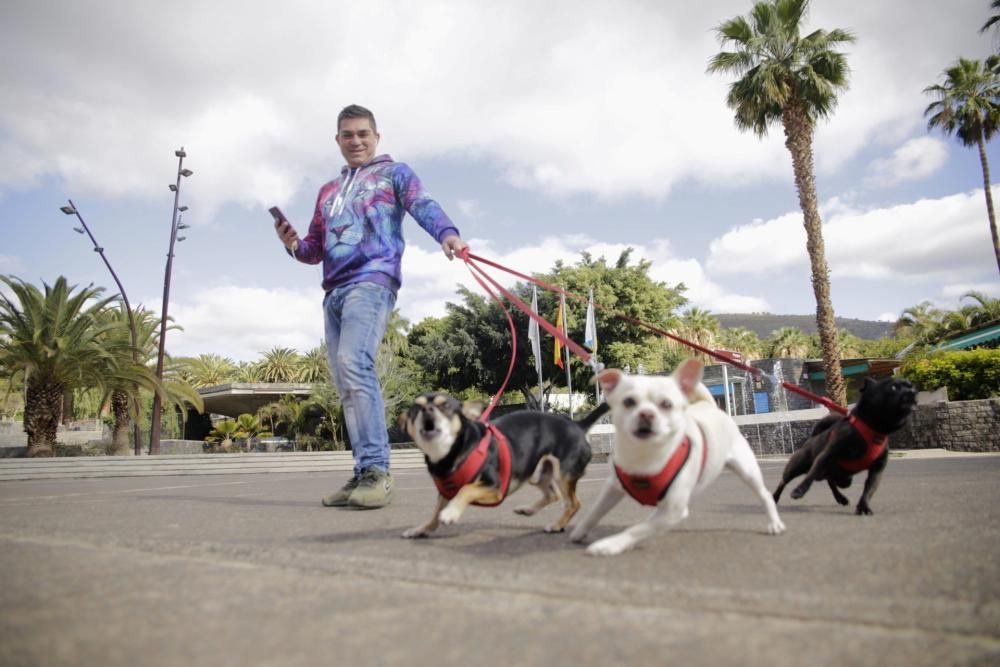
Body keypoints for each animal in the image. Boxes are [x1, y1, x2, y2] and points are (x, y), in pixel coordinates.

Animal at [400, 394, 604, 540]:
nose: (426, 409)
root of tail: (577, 425)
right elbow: (435, 515)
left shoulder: (495, 489)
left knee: (573, 503)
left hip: (563, 474)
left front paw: (451, 513)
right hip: (536, 473)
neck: (449, 454)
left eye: (445, 406)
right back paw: (528, 510)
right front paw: (422, 529)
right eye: (415, 408)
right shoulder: (445, 491)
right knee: (553, 495)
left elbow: (466, 490)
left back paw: (557, 525)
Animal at [772, 376, 916, 516]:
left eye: (911, 386)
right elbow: (809, 477)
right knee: (784, 481)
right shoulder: (826, 456)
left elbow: (869, 489)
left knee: (830, 481)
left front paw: (864, 506)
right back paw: (774, 497)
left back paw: (840, 498)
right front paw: (799, 490)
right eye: (893, 387)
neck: (873, 431)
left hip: (843, 479)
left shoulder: (877, 469)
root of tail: (812, 438)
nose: (913, 391)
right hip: (797, 466)